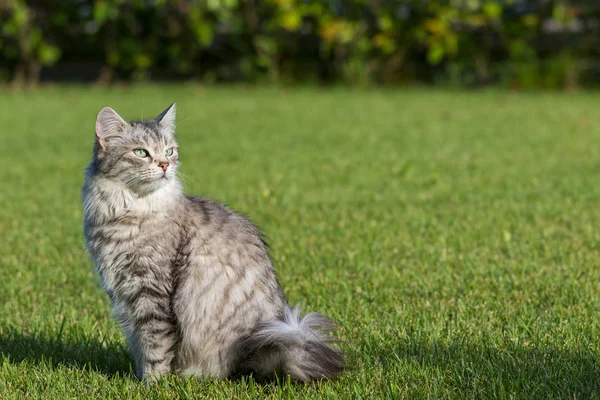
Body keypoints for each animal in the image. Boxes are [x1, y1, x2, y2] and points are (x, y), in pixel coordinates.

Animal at [81, 103, 342, 382]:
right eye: (141, 152)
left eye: (169, 151)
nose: (164, 165)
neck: (128, 211)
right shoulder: (124, 294)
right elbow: (139, 345)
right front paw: (141, 378)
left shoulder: (150, 292)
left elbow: (155, 347)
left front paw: (152, 383)